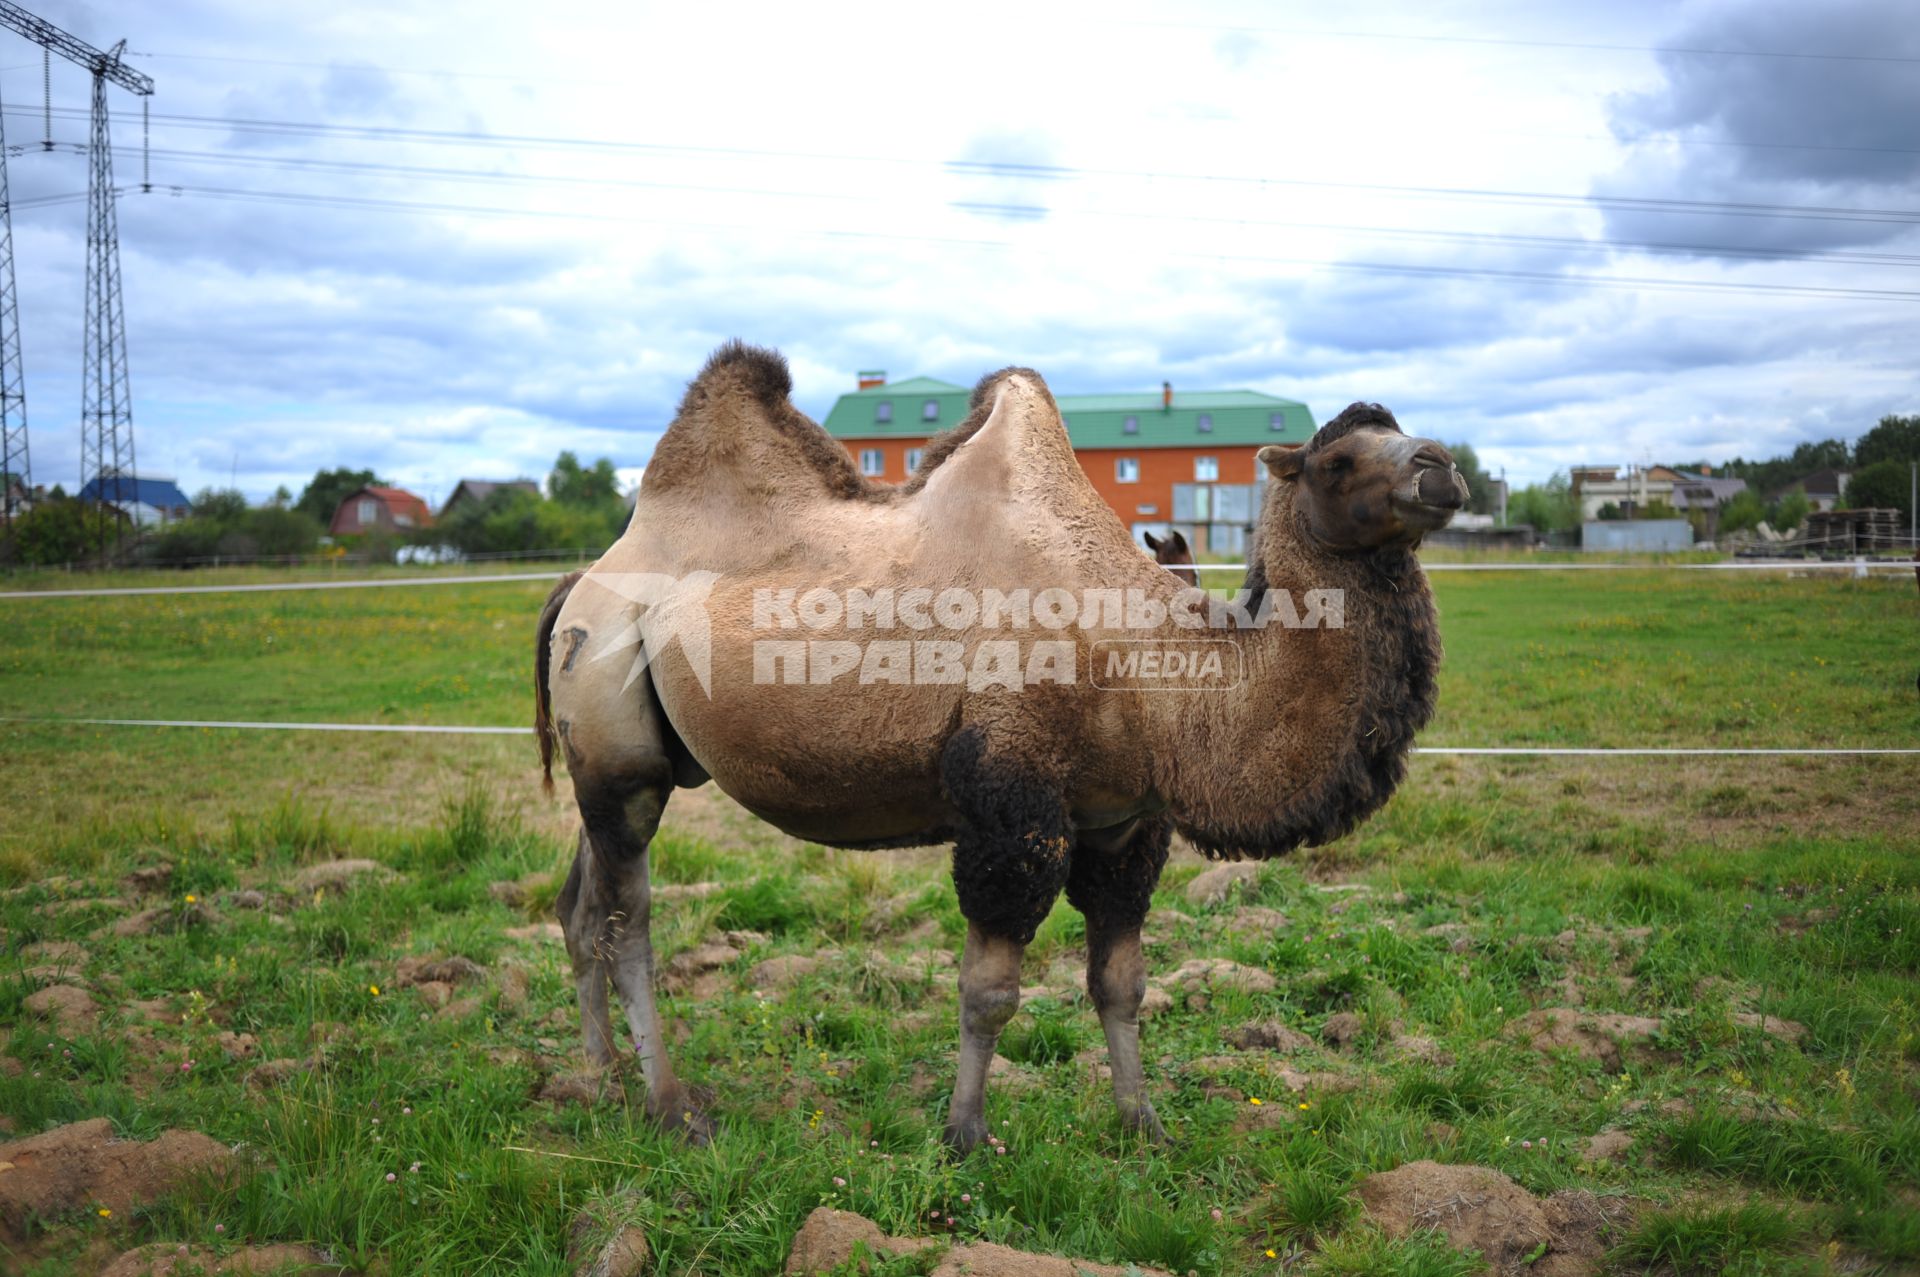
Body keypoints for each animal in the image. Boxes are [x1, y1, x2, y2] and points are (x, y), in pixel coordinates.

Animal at [533, 343, 1459, 1152]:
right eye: (1337, 459)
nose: (1442, 465)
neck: (1148, 669)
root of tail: (584, 579)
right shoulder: (1009, 795)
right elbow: (990, 990)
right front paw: (965, 1135)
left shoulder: (1124, 820)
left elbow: (1121, 982)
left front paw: (1143, 1126)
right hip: (616, 725)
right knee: (626, 919)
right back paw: (669, 1107)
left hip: (618, 761)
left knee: (579, 905)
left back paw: (600, 1080)